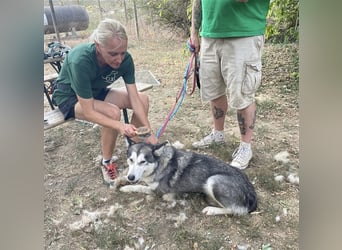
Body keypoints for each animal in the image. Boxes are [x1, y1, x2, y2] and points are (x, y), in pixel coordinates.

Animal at [119, 142, 258, 216]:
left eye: (143, 162)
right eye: (131, 160)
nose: (131, 177)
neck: (160, 163)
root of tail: (251, 192)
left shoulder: (159, 191)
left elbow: (140, 186)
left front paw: (126, 187)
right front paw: (123, 180)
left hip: (213, 180)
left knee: (235, 210)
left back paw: (211, 209)